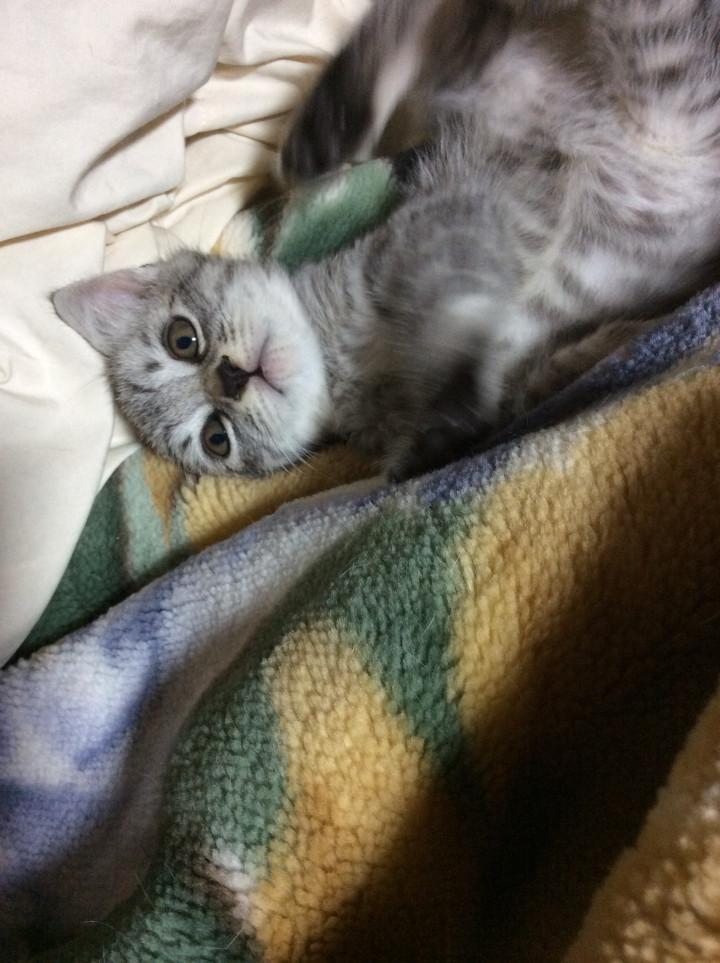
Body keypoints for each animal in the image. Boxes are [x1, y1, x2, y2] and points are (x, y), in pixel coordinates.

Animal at [52, 0, 720, 480]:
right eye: (216, 438)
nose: (231, 379)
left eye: (183, 339)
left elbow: (451, 302)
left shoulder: (457, 219)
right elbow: (521, 381)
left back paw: (322, 131)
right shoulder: (519, 368)